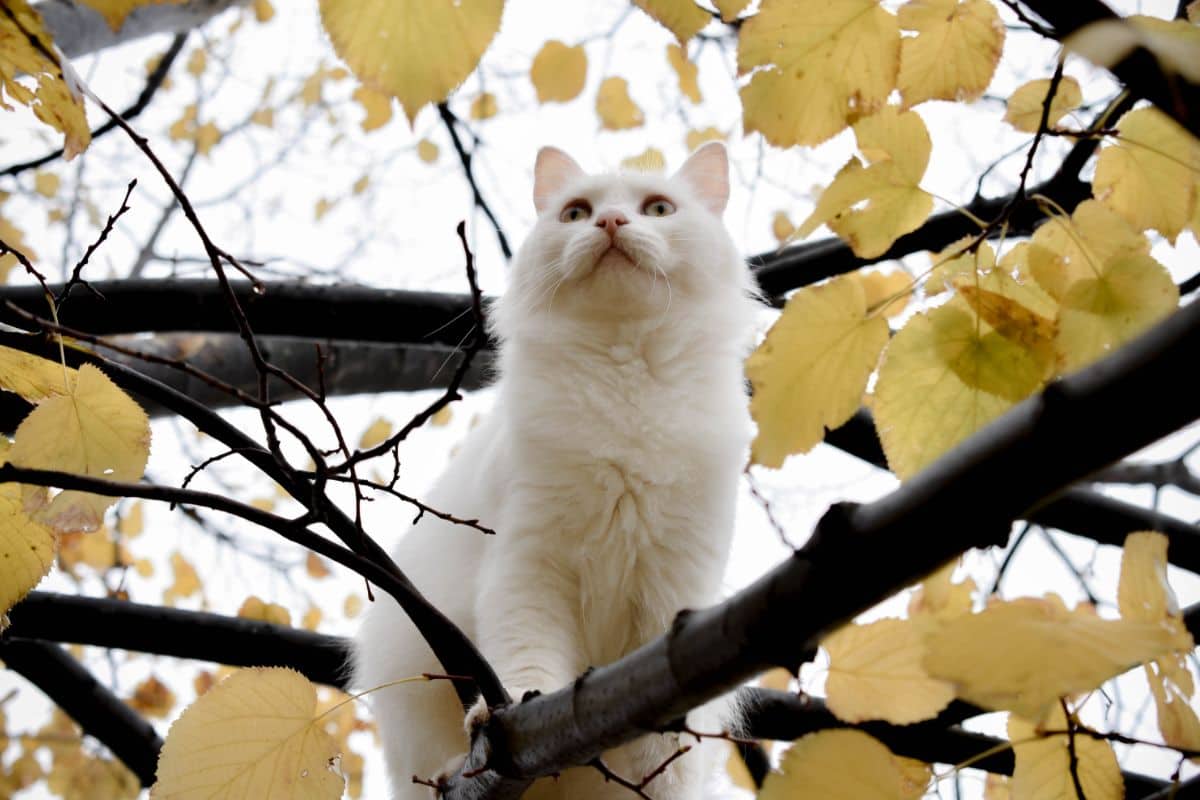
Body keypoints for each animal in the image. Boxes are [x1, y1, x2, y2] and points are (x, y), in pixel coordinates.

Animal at [350, 145, 753, 800]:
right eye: (576, 213)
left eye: (658, 209)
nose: (610, 223)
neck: (623, 378)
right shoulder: (528, 563)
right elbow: (526, 661)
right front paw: (503, 711)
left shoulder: (677, 578)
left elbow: (670, 736)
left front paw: (662, 767)